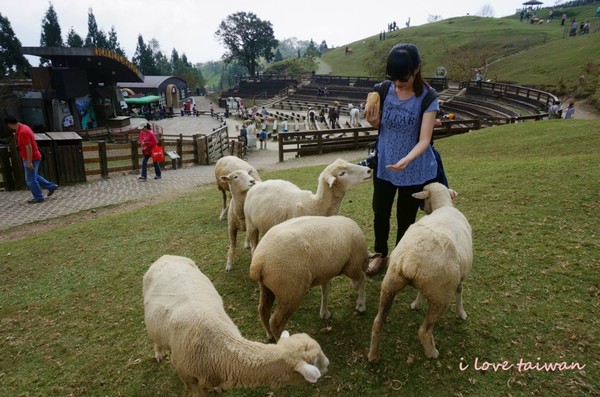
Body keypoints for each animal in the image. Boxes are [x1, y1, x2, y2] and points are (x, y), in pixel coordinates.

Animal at [143, 254, 330, 396]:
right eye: (314, 362)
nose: (328, 364)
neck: (217, 349)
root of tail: (167, 256)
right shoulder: (188, 379)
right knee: (156, 340)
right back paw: (158, 353)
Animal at [247, 213, 378, 340]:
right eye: (366, 264)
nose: (353, 286)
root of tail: (259, 262)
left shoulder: (325, 272)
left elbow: (326, 290)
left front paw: (324, 313)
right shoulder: (352, 265)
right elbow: (362, 278)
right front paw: (361, 304)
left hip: (267, 287)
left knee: (263, 310)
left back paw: (269, 334)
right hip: (291, 291)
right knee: (276, 322)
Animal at [366, 183, 474, 362]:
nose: (423, 208)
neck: (443, 206)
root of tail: (411, 260)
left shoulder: (425, 282)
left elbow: (420, 292)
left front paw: (416, 304)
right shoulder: (461, 276)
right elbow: (460, 291)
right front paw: (462, 313)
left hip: (390, 283)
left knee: (377, 323)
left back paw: (373, 356)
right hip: (441, 295)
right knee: (424, 330)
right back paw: (432, 352)